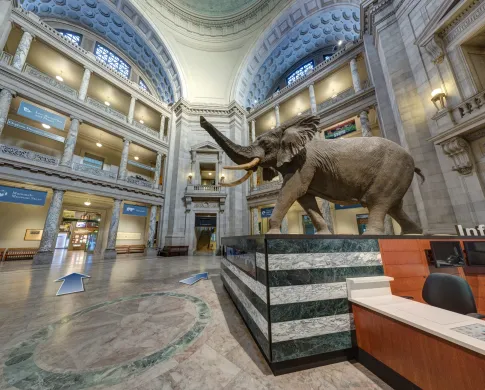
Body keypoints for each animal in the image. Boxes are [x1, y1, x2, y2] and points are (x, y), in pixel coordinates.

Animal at [199, 114, 422, 233]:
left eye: (265, 144)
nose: (201, 119)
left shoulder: (305, 163)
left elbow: (291, 190)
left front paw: (272, 233)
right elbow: (305, 198)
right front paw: (324, 234)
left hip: (392, 168)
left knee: (376, 201)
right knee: (394, 207)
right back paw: (413, 233)